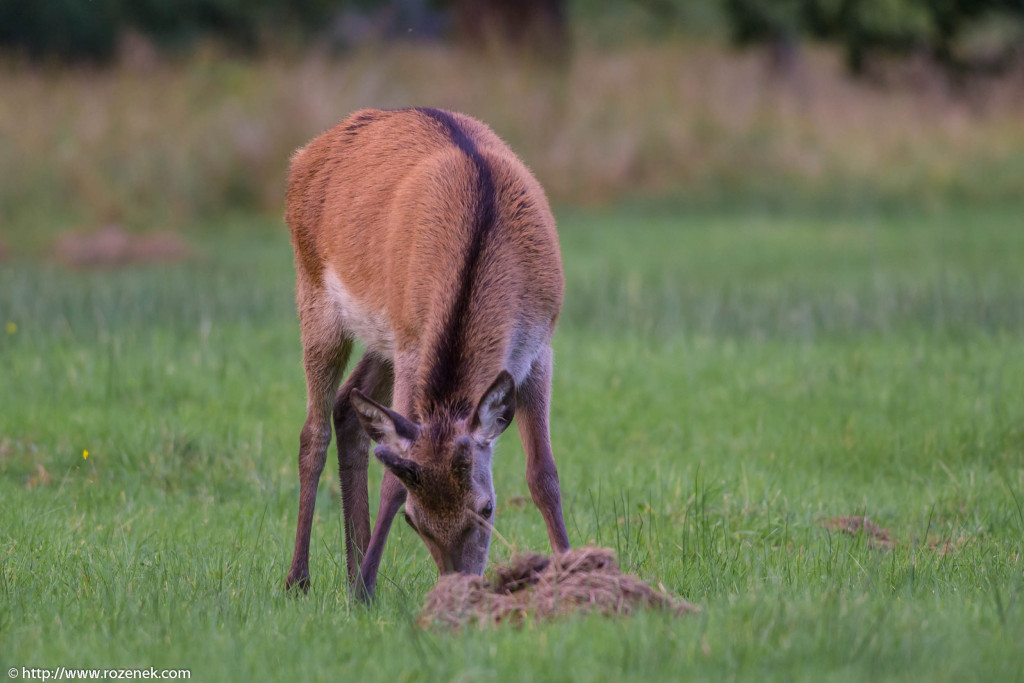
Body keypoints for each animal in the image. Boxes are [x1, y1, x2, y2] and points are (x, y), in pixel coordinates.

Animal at [284, 107, 573, 602]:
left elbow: (544, 475)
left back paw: (352, 569)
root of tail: (303, 156)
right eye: (413, 521)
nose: (460, 585)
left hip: (384, 336)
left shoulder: (539, 348)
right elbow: (391, 482)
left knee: (348, 405)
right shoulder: (412, 346)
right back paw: (300, 580)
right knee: (312, 433)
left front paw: (575, 569)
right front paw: (362, 594)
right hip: (317, 296)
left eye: (487, 508)